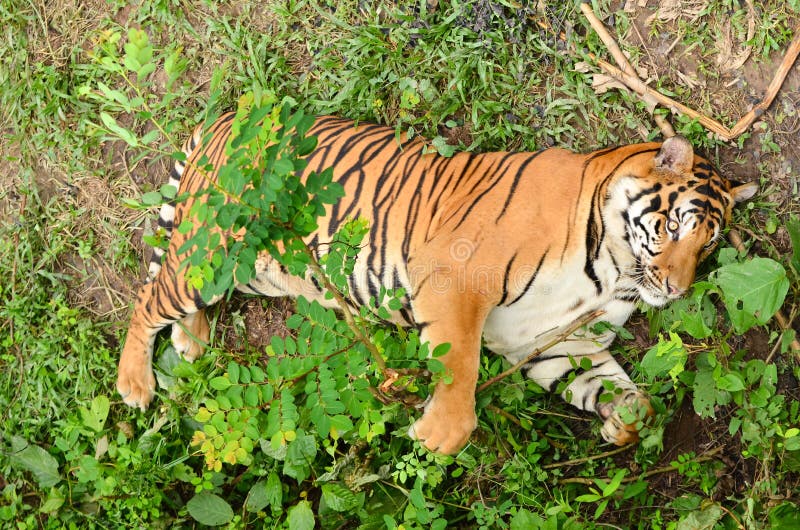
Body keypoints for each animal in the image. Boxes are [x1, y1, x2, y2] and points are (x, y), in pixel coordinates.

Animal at [117, 113, 757, 455]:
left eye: (708, 245)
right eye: (675, 226)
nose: (676, 290)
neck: (612, 271)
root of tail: (227, 119)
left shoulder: (554, 341)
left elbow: (625, 392)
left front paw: (625, 422)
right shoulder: (456, 277)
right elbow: (459, 364)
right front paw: (438, 436)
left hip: (254, 270)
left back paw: (192, 340)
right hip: (219, 247)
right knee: (148, 297)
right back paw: (136, 384)